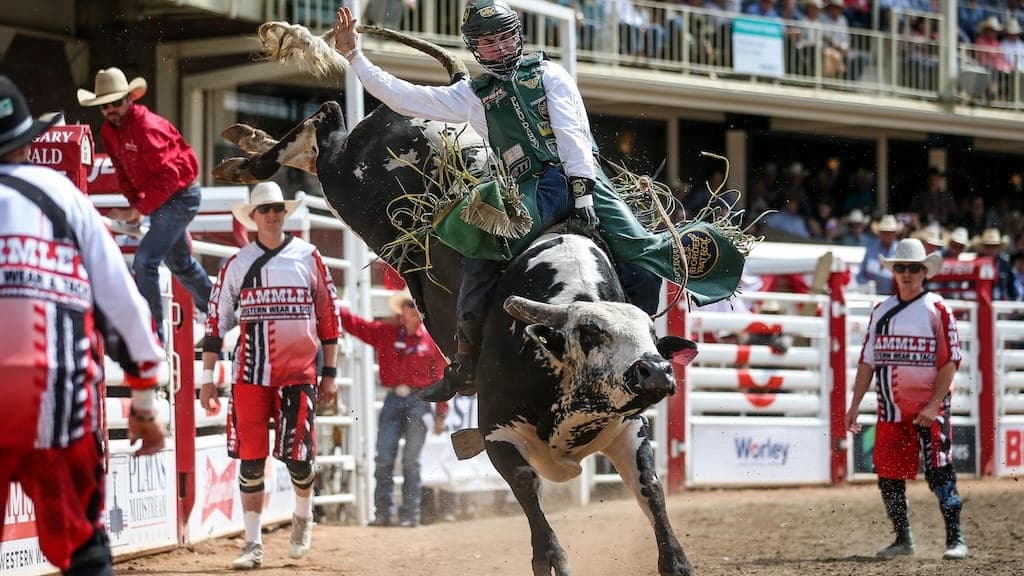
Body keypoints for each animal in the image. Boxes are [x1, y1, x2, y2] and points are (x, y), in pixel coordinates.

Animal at [209, 19, 737, 573]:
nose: (655, 371)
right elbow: (528, 490)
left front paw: (676, 559)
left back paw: (245, 141)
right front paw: (552, 558)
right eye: (591, 333)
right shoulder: (497, 432)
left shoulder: (629, 430)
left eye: (651, 338)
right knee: (324, 124)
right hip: (345, 182)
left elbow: (652, 488)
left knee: (319, 135)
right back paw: (244, 156)